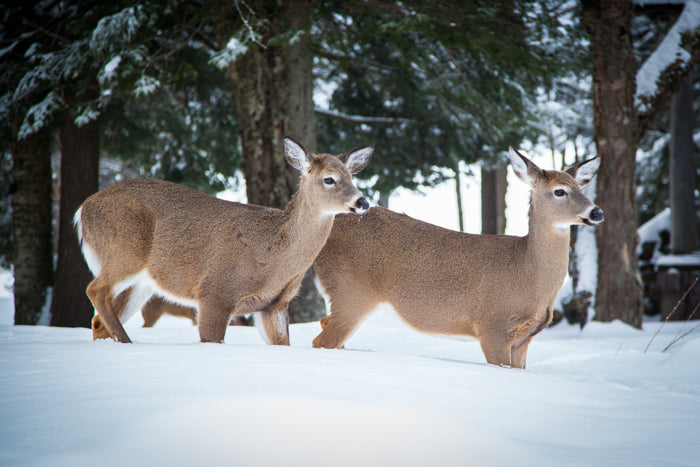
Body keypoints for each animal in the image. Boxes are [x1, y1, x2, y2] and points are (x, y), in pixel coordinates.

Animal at [78, 137, 373, 344]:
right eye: (329, 179)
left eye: (352, 177)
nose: (363, 201)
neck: (272, 259)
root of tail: (82, 209)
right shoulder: (215, 292)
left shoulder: (274, 304)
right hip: (123, 250)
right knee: (95, 290)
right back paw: (127, 342)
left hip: (142, 281)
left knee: (99, 320)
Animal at [312, 147, 603, 368]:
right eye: (560, 191)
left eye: (581, 187)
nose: (597, 212)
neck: (528, 274)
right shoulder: (493, 326)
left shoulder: (524, 338)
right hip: (351, 290)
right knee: (322, 341)